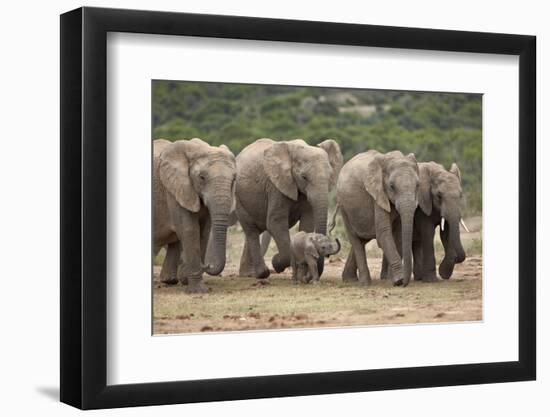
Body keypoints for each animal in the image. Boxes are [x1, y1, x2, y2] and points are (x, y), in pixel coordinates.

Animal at [153, 137, 237, 292]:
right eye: (202, 177)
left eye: (234, 179)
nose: (207, 265)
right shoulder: (174, 189)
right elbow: (190, 230)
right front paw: (198, 291)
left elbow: (203, 231)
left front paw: (188, 281)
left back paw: (170, 281)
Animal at [238, 138, 344, 278]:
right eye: (304, 177)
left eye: (330, 176)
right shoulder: (276, 186)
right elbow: (276, 222)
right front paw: (276, 263)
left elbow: (307, 222)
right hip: (240, 198)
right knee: (251, 230)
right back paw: (262, 274)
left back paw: (248, 274)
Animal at [338, 150, 420, 286]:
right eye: (392, 186)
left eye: (418, 185)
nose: (404, 283)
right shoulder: (377, 194)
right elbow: (383, 233)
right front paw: (399, 280)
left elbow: (398, 234)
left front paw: (393, 280)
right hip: (344, 207)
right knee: (355, 239)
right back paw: (365, 283)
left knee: (362, 239)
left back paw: (349, 280)